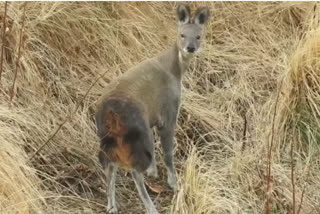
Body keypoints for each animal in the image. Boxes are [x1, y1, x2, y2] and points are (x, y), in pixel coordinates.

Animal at [95, 3, 210, 214]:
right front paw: (174, 183)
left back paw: (112, 206)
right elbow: (168, 153)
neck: (174, 70)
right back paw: (150, 207)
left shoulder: (152, 118)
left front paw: (154, 172)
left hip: (107, 137)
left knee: (110, 165)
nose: (190, 48)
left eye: (199, 36)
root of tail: (110, 113)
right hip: (135, 133)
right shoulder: (168, 113)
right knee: (133, 169)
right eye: (182, 34)